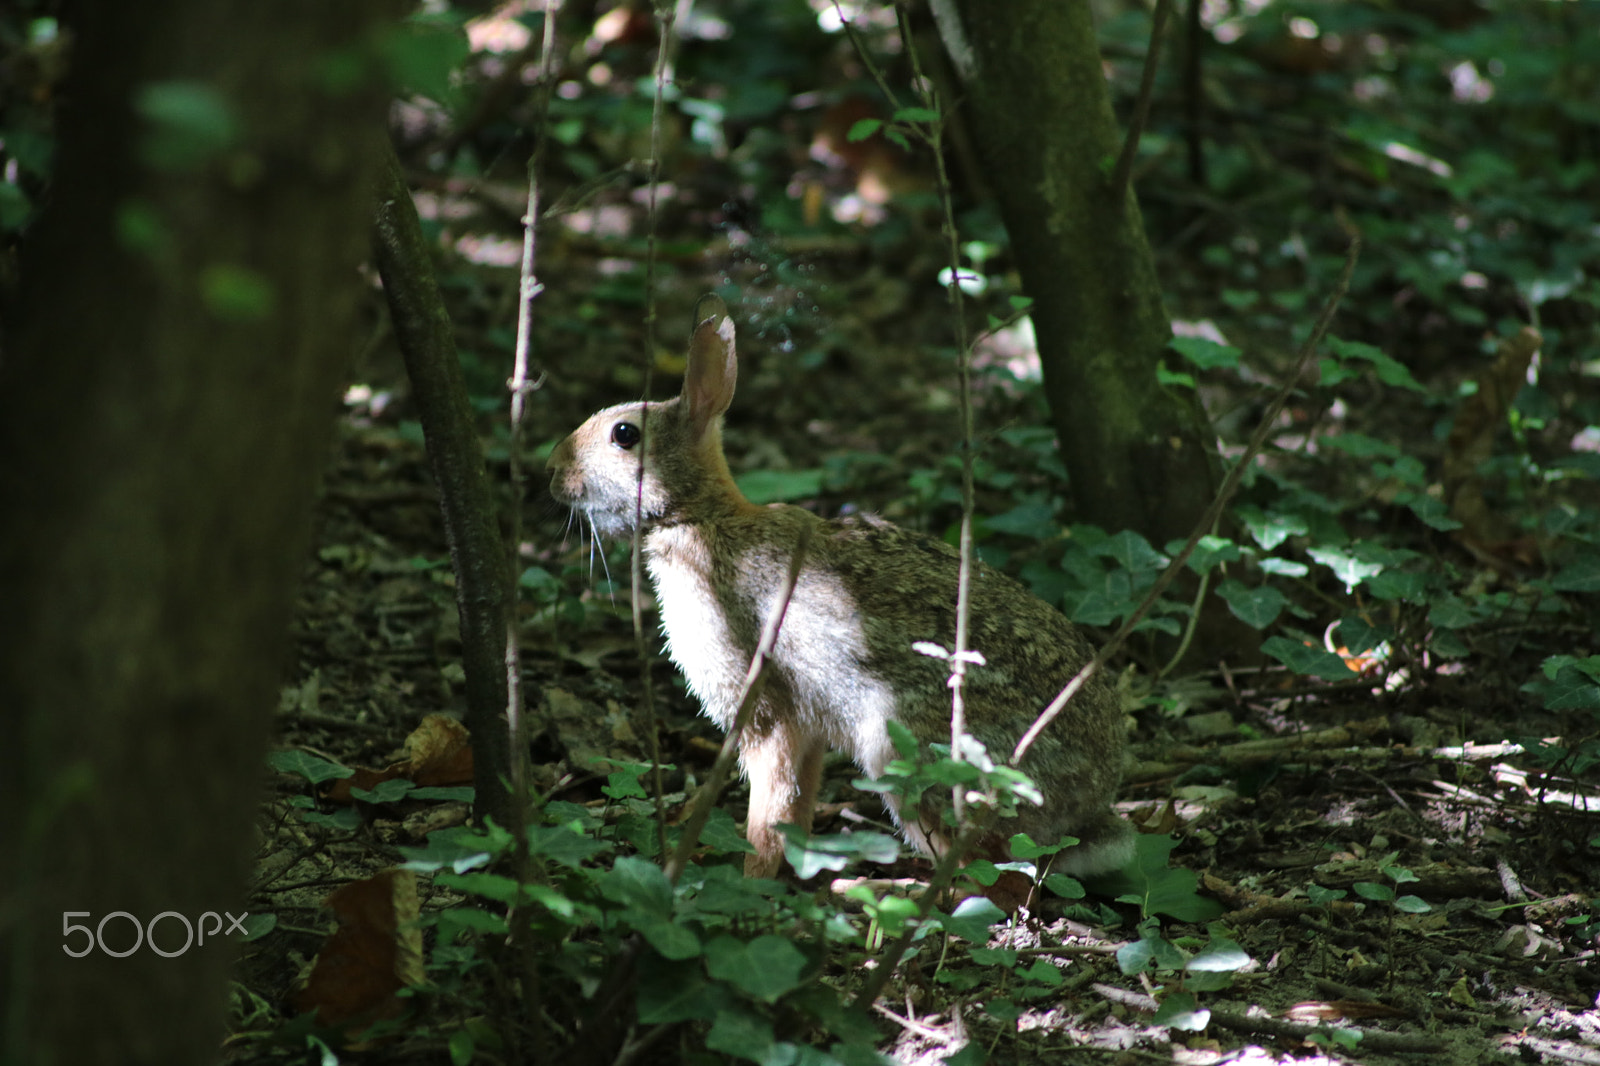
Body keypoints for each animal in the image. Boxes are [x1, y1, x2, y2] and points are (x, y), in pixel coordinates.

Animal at [547, 295, 1133, 881]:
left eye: (625, 434)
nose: (552, 471)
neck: (698, 516)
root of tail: (1089, 801)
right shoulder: (804, 731)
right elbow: (796, 804)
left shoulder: (767, 710)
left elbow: (770, 808)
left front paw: (754, 876)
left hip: (905, 744)